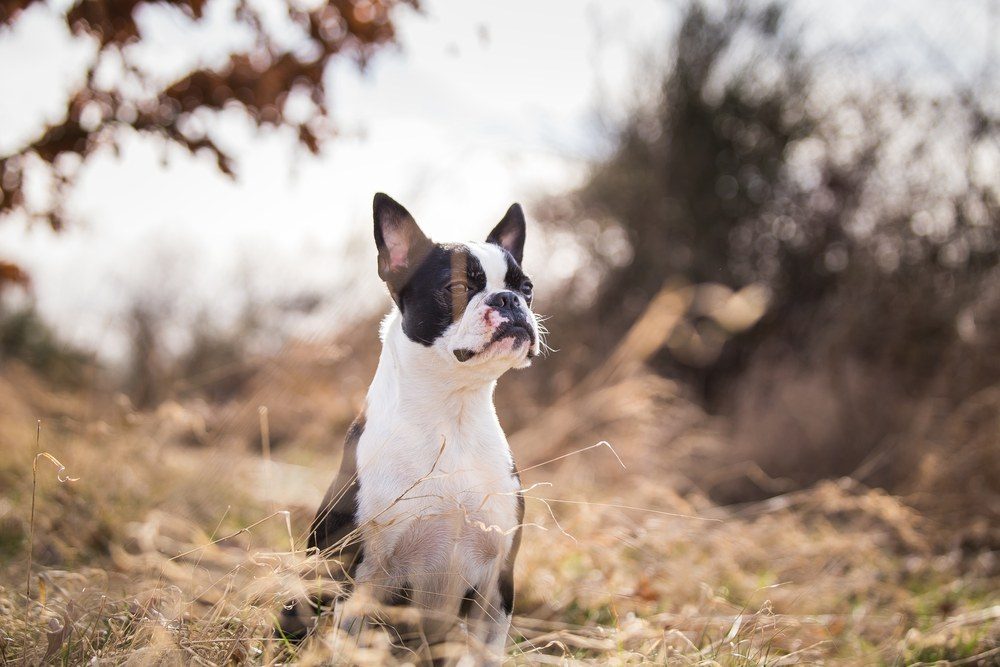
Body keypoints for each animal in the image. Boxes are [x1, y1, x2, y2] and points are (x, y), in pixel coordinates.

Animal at [278, 192, 544, 664]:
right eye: (456, 288)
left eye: (526, 288)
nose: (509, 300)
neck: (452, 414)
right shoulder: (361, 576)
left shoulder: (496, 586)